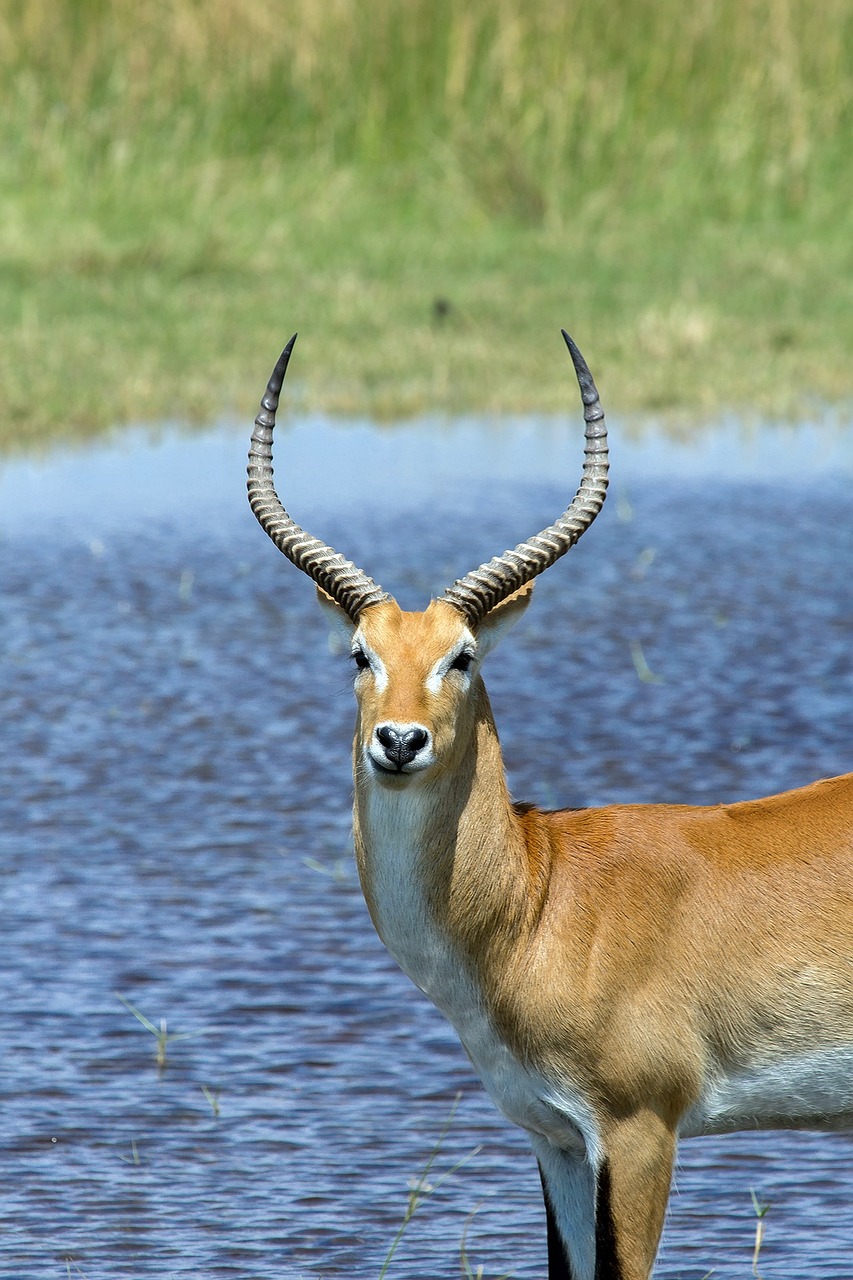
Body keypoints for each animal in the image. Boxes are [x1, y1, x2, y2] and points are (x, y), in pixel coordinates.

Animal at [244, 335, 850, 1274]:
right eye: (359, 654)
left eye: (461, 655)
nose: (398, 741)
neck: (539, 900)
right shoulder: (553, 1139)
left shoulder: (637, 1133)